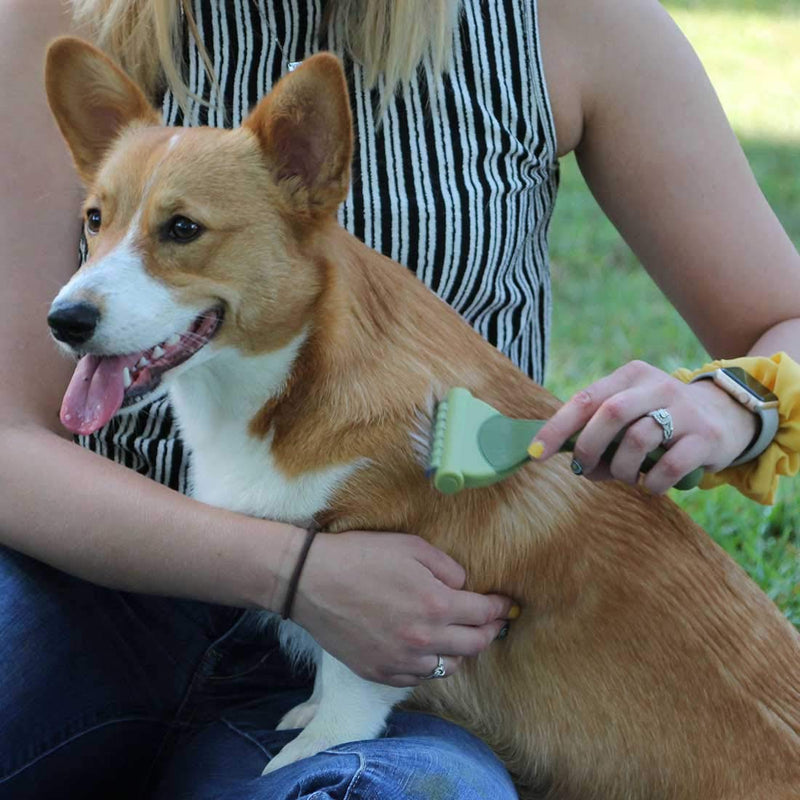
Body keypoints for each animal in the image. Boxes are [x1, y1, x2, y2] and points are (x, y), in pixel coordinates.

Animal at [43, 39, 800, 800]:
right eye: (94, 220)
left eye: (182, 229)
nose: (64, 321)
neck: (289, 381)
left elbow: (347, 693)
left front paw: (305, 748)